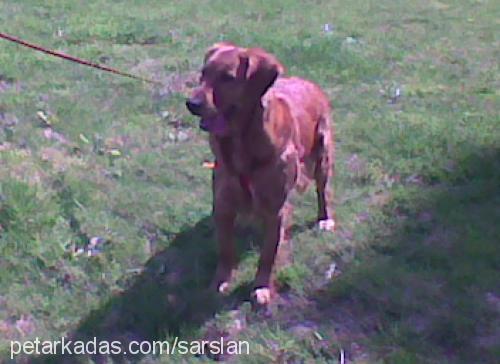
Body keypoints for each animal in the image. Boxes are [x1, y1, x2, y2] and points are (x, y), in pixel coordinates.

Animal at [186, 42, 334, 304]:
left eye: (227, 78)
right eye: (203, 73)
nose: (191, 103)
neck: (241, 141)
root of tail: (309, 83)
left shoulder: (276, 210)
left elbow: (268, 255)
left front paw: (261, 287)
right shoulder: (223, 203)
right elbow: (225, 249)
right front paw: (220, 281)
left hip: (322, 156)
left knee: (322, 191)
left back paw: (324, 218)